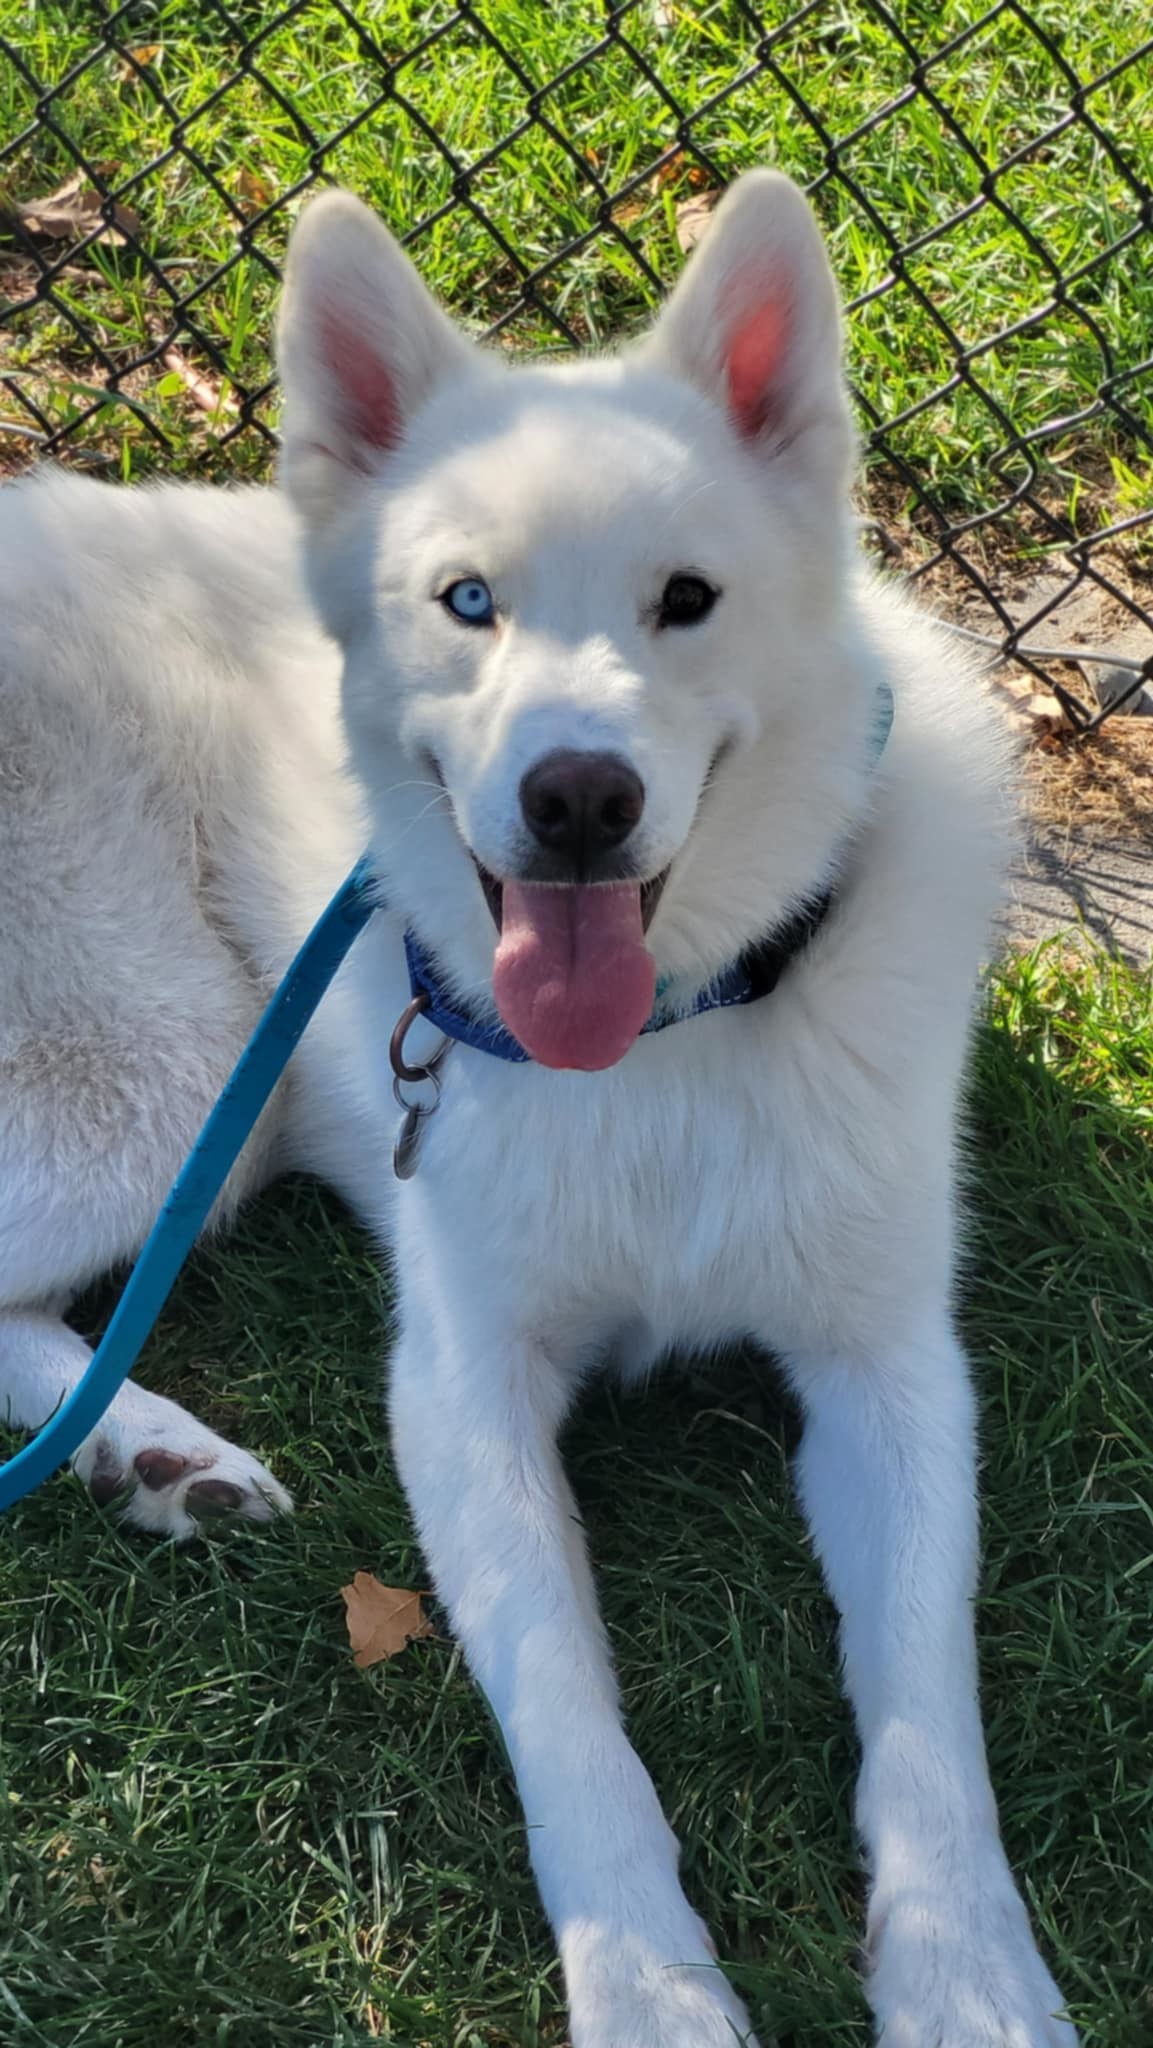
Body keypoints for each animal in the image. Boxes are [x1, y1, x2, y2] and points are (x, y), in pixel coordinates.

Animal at [4, 176, 1081, 2048]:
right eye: (465, 600)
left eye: (686, 598)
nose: (579, 797)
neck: (661, 1044)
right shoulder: (460, 1386)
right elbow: (574, 1721)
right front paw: (650, 1995)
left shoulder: (890, 1370)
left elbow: (926, 1717)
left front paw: (967, 1980)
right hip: (154, 1064)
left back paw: (150, 1452)